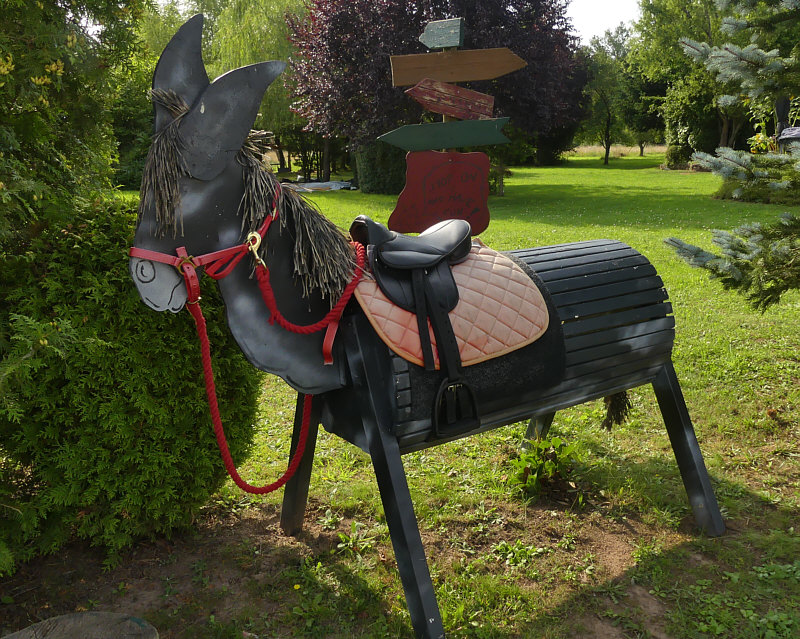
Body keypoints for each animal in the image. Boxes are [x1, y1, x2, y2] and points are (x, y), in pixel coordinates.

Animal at [129, 16, 724, 639]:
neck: (327, 311)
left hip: (661, 369)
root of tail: (636, 256)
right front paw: (292, 530)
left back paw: (711, 523)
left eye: (183, 196)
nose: (145, 278)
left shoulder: (384, 436)